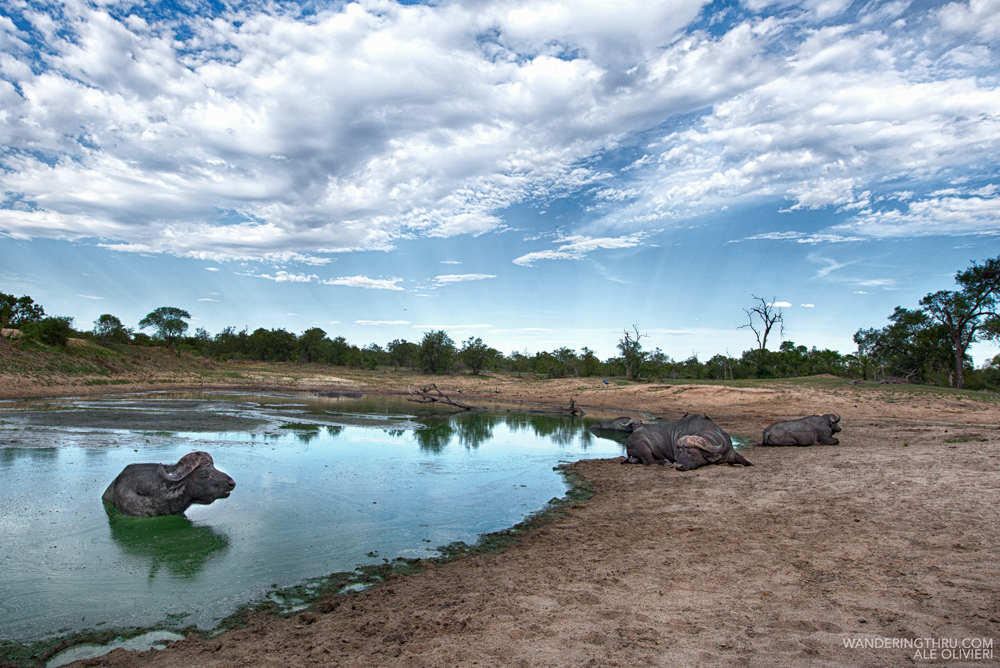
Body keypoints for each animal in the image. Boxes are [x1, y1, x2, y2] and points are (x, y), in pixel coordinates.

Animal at [624, 413, 752, 470]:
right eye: (680, 452)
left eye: (692, 453)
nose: (678, 465)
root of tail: (629, 439)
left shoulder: (730, 452)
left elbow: (743, 460)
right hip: (643, 446)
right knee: (650, 461)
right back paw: (665, 462)